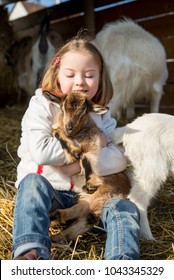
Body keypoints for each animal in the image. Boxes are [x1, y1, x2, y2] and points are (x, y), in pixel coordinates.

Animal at [43, 91, 130, 243]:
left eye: (82, 113)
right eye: (62, 109)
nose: (69, 127)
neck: (78, 134)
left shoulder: (94, 143)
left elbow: (85, 157)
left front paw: (90, 182)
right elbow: (57, 131)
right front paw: (72, 152)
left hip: (103, 194)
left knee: (87, 218)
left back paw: (56, 230)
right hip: (91, 199)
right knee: (82, 215)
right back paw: (56, 225)